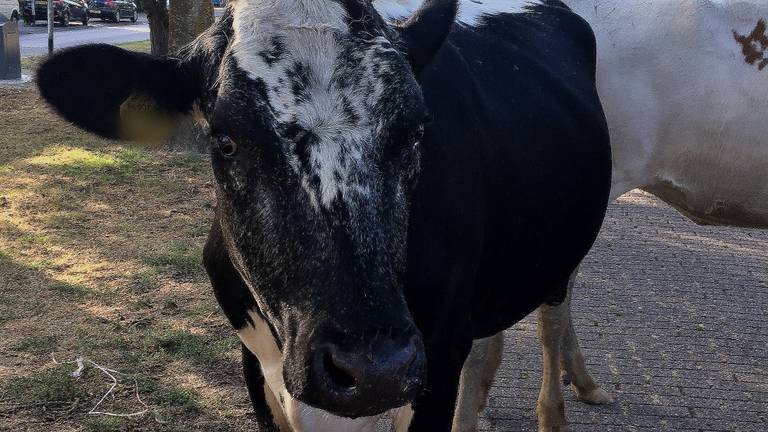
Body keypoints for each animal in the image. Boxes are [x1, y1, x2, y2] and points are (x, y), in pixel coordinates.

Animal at [37, 0, 612, 430]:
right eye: (225, 141)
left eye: (416, 131)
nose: (374, 369)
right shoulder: (257, 366)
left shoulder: (438, 358)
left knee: (552, 319)